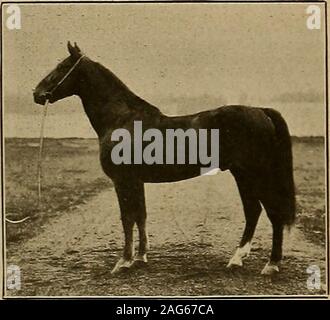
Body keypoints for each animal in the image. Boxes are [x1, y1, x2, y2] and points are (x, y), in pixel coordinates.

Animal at [34, 42, 296, 276]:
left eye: (62, 66)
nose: (36, 94)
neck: (122, 119)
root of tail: (261, 111)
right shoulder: (136, 181)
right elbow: (140, 215)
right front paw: (140, 257)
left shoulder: (122, 180)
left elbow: (127, 218)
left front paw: (123, 262)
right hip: (243, 175)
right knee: (254, 211)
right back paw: (238, 259)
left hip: (255, 174)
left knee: (271, 213)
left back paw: (271, 264)